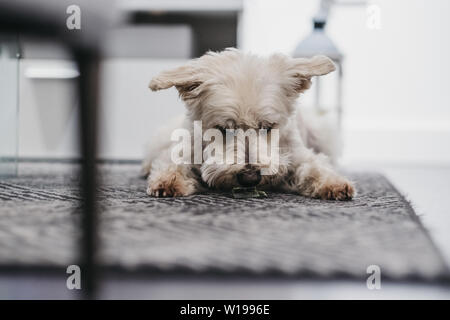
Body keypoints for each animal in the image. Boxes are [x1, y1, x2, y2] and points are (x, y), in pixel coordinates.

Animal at [142, 48, 354, 200]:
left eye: (267, 127)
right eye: (223, 129)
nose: (250, 178)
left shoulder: (297, 153)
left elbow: (315, 167)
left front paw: (332, 183)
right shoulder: (186, 147)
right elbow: (172, 162)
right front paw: (168, 181)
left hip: (321, 132)